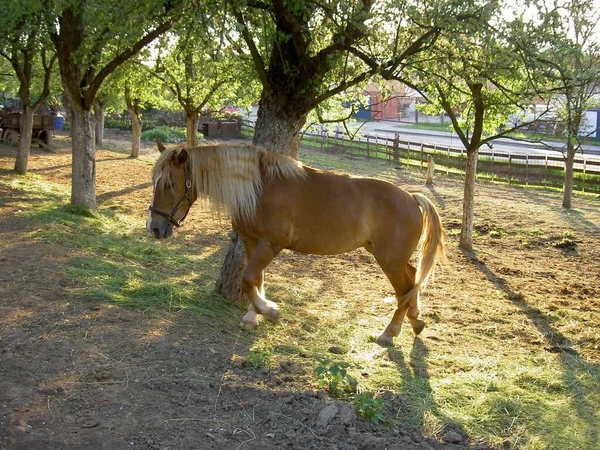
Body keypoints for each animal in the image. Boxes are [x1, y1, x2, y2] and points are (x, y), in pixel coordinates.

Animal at [146, 141, 446, 344]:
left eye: (170, 184)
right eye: (155, 181)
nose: (155, 227)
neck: (259, 188)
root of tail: (412, 198)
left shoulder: (270, 244)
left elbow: (249, 278)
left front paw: (269, 311)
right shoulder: (252, 242)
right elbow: (256, 280)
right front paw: (253, 316)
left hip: (389, 260)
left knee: (404, 288)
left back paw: (389, 333)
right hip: (389, 256)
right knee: (412, 279)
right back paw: (416, 320)